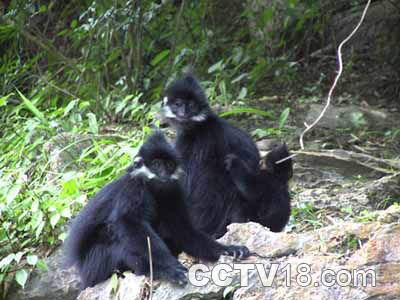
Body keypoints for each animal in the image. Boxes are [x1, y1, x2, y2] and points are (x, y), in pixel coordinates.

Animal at [64, 131, 248, 288]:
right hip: (95, 265)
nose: (164, 174)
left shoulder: (173, 190)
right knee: (122, 246)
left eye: (168, 165)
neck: (153, 188)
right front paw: (170, 268)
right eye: (156, 164)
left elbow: (183, 230)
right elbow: (129, 222)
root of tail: (83, 274)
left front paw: (228, 249)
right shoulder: (133, 187)